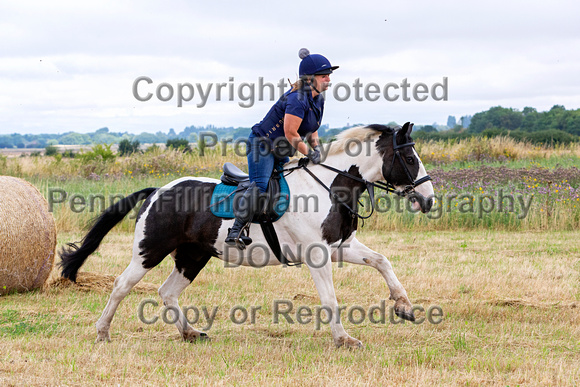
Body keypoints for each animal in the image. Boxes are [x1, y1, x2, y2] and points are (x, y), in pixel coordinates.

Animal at [61, 123, 432, 350]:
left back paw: (190, 332)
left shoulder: (340, 247)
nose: (428, 200)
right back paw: (103, 331)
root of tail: (157, 190)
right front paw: (344, 339)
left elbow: (382, 261)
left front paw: (404, 306)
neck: (328, 186)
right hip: (149, 250)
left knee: (167, 292)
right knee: (121, 285)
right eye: (409, 158)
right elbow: (330, 298)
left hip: (192, 256)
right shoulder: (317, 254)